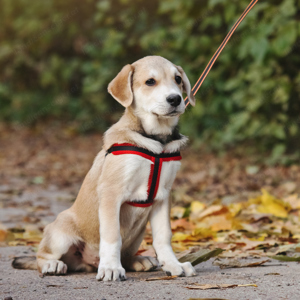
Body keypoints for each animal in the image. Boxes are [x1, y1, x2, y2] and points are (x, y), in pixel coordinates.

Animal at [12, 55, 197, 282]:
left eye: (177, 79)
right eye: (150, 82)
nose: (175, 99)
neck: (156, 140)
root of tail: (86, 263)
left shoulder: (163, 196)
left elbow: (163, 236)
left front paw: (173, 265)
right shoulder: (111, 193)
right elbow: (111, 236)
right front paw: (110, 268)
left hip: (138, 233)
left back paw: (139, 261)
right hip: (60, 233)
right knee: (41, 256)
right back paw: (52, 264)